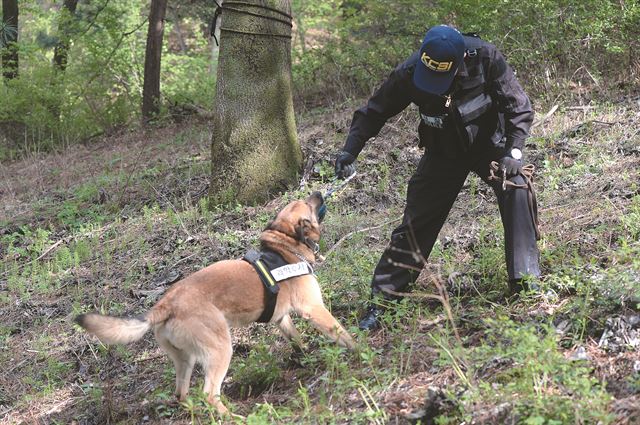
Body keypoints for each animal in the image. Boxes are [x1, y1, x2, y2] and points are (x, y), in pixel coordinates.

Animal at [76, 191, 356, 410]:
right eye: (308, 204)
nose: (319, 192)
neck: (285, 247)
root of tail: (165, 304)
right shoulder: (313, 309)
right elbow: (342, 333)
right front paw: (360, 350)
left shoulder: (282, 318)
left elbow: (296, 340)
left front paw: (305, 357)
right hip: (221, 350)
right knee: (209, 394)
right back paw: (234, 417)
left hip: (185, 361)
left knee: (182, 395)